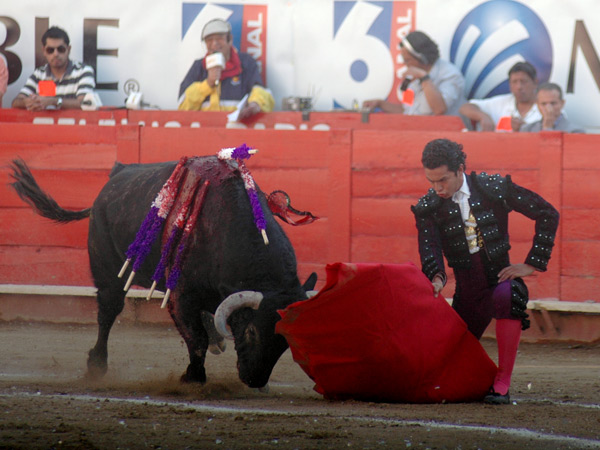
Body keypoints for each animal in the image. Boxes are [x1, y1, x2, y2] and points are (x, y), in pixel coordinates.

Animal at [10, 156, 318, 388]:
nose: (255, 380)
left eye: (285, 340)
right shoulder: (181, 296)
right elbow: (195, 338)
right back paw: (96, 365)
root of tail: (114, 177)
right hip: (107, 270)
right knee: (108, 311)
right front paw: (193, 378)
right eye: (252, 332)